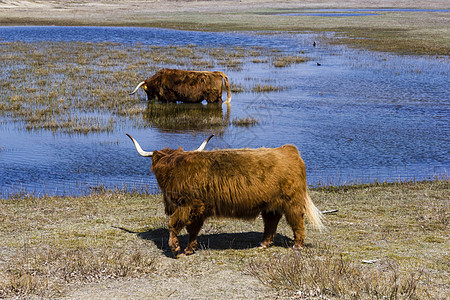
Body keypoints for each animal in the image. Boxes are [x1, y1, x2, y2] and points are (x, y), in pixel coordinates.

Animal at [126, 134, 324, 258]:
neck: (175, 170)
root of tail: (289, 150)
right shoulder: (199, 210)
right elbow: (192, 230)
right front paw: (189, 249)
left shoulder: (187, 205)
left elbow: (173, 224)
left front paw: (175, 249)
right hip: (270, 205)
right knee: (271, 222)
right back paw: (264, 243)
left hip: (292, 202)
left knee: (297, 221)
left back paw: (297, 245)